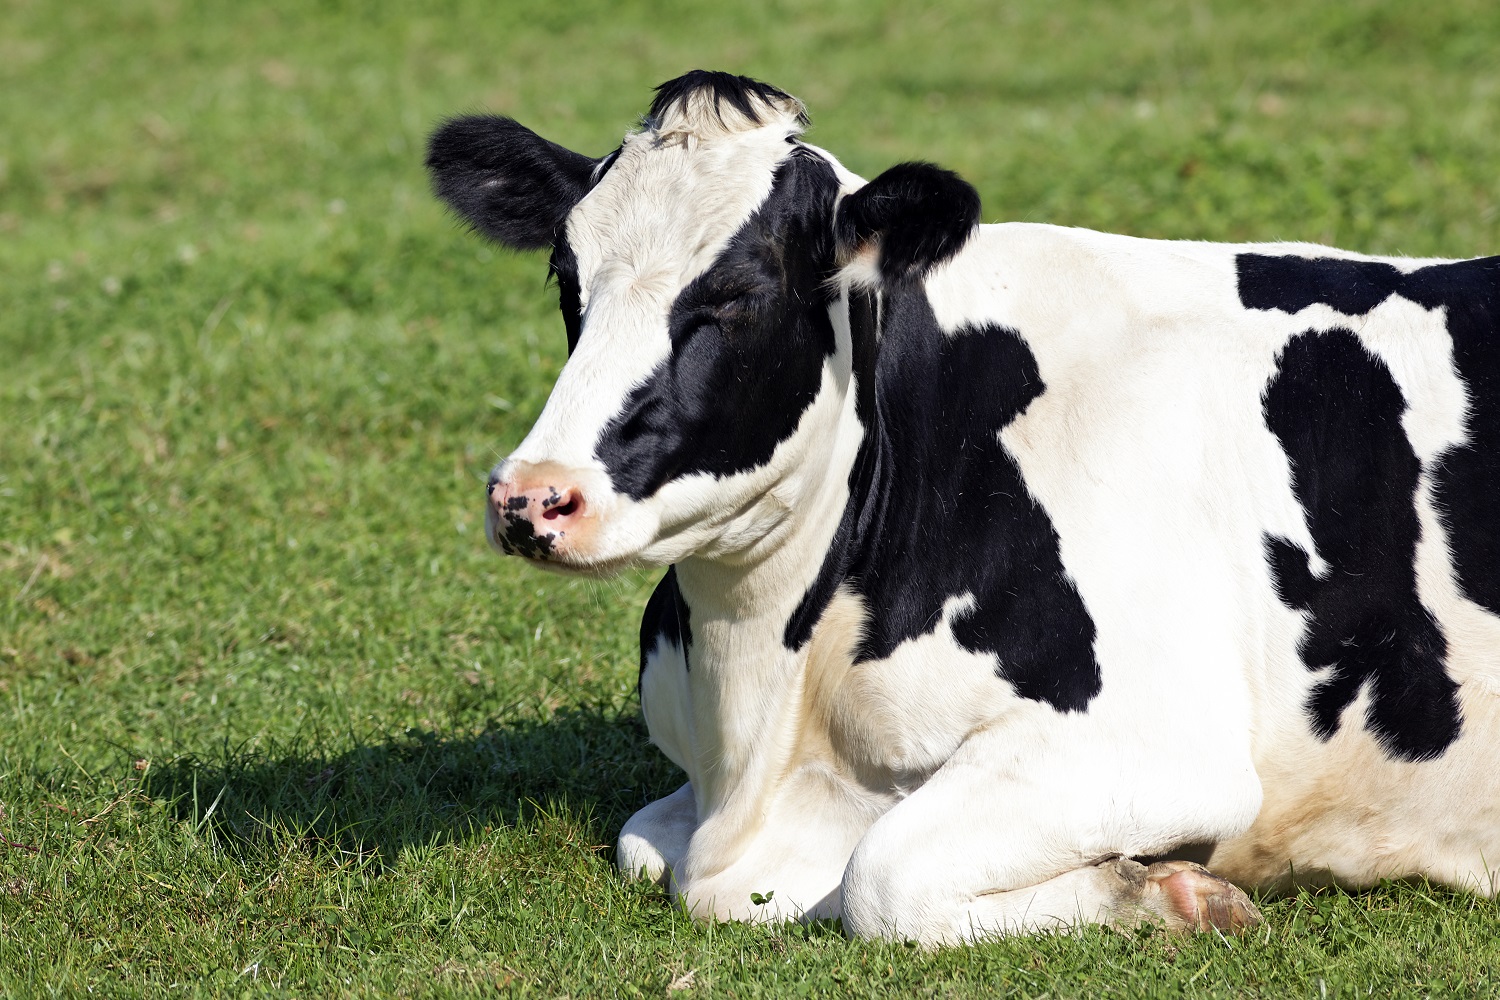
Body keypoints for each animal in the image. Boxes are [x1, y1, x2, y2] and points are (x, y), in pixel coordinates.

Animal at [425, 70, 1500, 945]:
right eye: (566, 277)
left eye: (739, 296)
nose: (533, 497)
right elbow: (641, 841)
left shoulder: (1156, 747)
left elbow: (883, 879)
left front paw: (1170, 894)